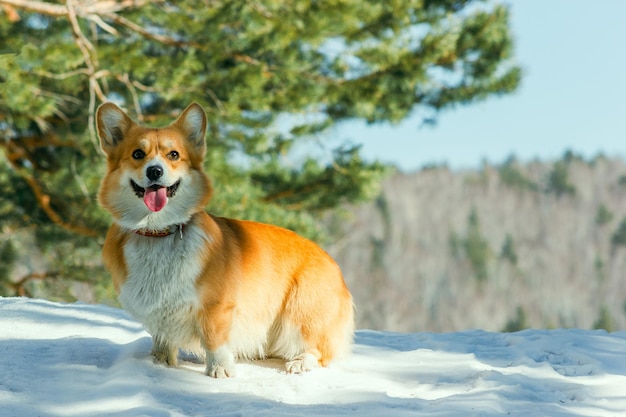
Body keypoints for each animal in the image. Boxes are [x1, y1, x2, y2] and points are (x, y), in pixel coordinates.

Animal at [95, 101, 354, 376]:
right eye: (137, 154)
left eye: (173, 155)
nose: (154, 171)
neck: (158, 231)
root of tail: (333, 264)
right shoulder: (161, 315)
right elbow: (163, 340)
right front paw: (160, 363)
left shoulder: (216, 308)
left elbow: (214, 340)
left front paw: (219, 371)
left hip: (300, 313)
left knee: (320, 349)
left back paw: (300, 362)